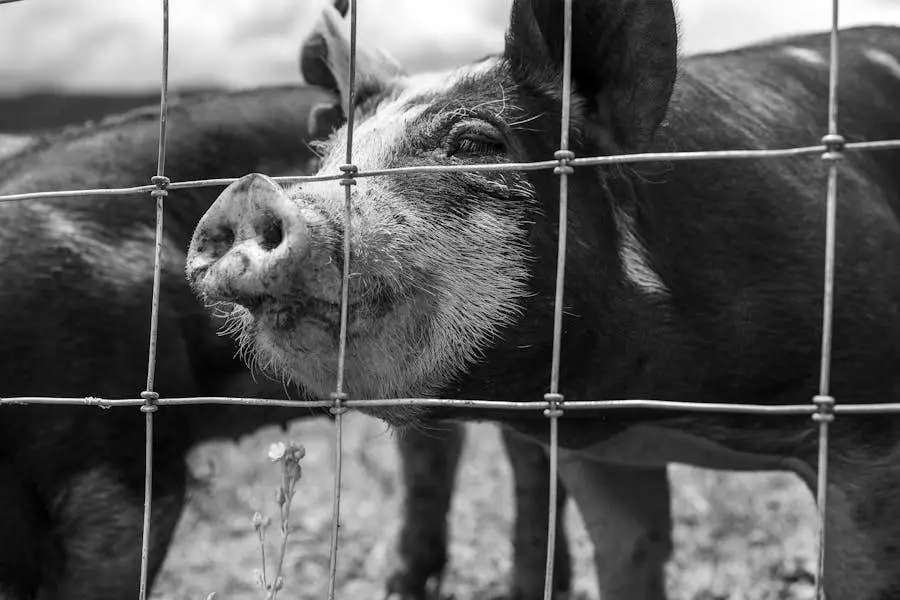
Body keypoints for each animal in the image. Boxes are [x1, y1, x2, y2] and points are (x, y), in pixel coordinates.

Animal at [185, 1, 900, 600]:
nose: (247, 191)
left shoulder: (865, 422)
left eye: (475, 142)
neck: (658, 410)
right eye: (327, 159)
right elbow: (630, 557)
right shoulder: (602, 457)